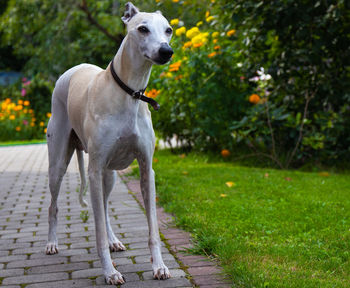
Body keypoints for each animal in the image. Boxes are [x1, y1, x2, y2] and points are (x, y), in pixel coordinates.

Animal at [45, 2, 174, 284]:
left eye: (168, 30)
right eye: (142, 28)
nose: (166, 51)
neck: (129, 92)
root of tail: (73, 69)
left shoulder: (146, 169)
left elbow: (153, 229)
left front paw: (159, 266)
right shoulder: (93, 170)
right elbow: (98, 233)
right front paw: (110, 272)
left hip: (110, 174)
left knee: (103, 208)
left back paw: (115, 240)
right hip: (58, 164)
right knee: (54, 206)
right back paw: (51, 243)